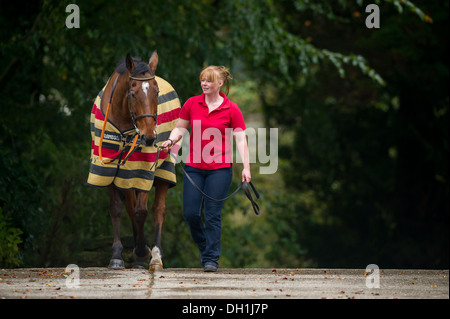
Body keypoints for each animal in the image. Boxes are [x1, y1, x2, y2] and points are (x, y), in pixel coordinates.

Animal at [87, 51, 180, 272]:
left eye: (156, 91)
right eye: (133, 92)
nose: (149, 137)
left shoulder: (142, 168)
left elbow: (141, 211)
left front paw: (141, 252)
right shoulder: (110, 169)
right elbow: (117, 209)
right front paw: (117, 255)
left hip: (164, 168)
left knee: (158, 209)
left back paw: (154, 254)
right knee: (129, 207)